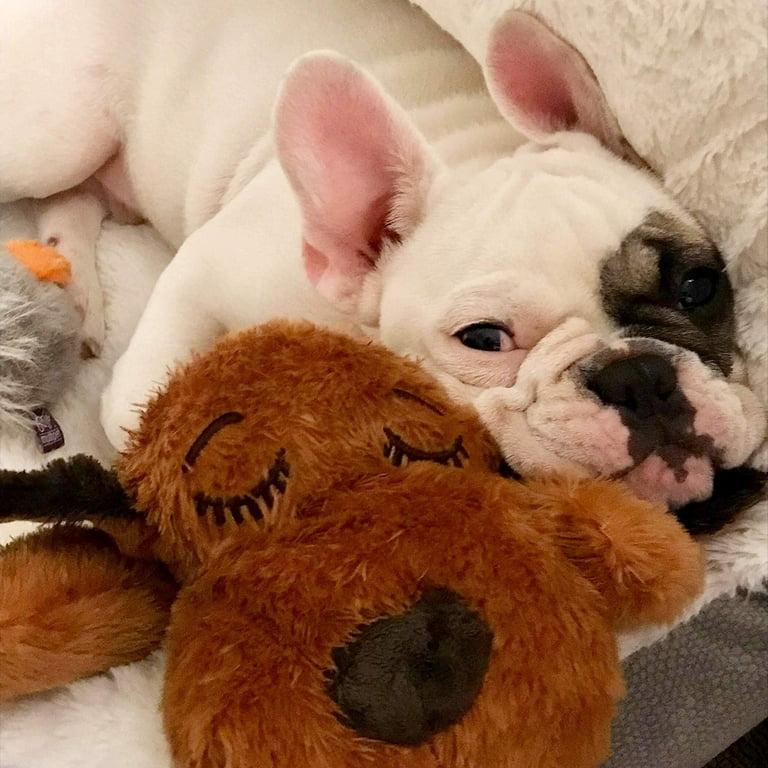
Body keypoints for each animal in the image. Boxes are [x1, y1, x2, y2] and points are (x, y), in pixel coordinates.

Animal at [0, 0, 760, 528]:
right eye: (484, 339)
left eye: (698, 286)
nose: (639, 377)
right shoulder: (206, 269)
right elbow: (148, 403)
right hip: (56, 134)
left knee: (74, 200)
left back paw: (73, 288)